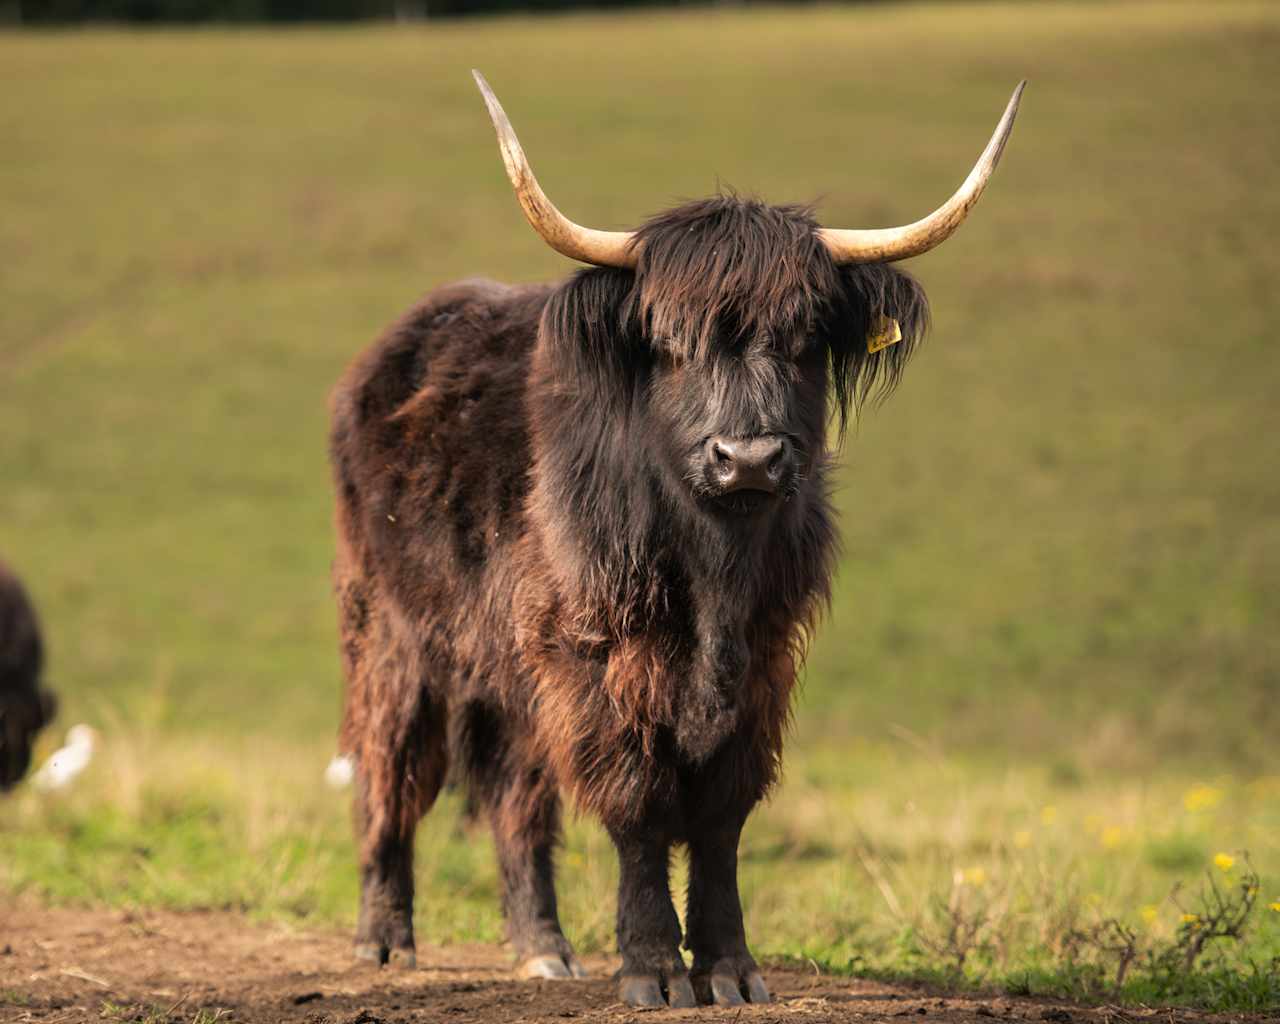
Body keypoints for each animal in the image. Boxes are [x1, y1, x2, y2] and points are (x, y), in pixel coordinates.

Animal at [332, 72, 1029, 1008]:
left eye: (804, 339)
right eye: (671, 342)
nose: (749, 458)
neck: (712, 577)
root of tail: (395, 346)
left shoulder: (765, 659)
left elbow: (723, 810)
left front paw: (731, 969)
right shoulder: (595, 658)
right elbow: (638, 801)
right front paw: (654, 968)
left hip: (510, 669)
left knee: (519, 798)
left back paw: (543, 949)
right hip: (393, 635)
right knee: (390, 770)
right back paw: (383, 940)